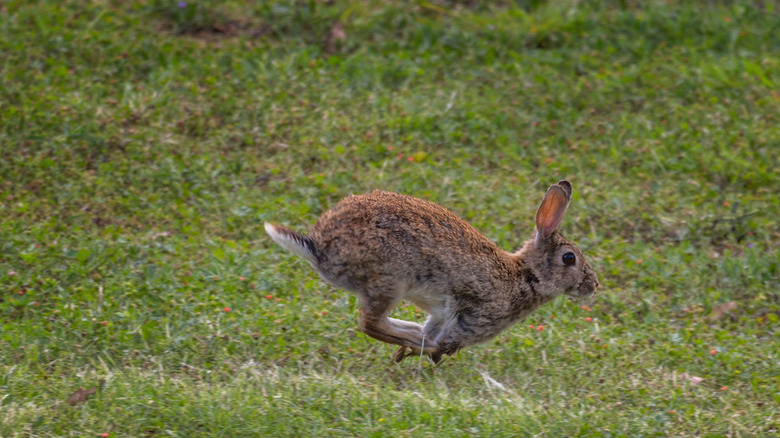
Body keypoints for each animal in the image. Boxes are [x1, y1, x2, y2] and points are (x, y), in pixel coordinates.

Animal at [266, 179, 600, 362]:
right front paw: (428, 350)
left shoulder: (442, 315)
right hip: (390, 279)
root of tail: (319, 247)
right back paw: (413, 340)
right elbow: (446, 337)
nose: (593, 285)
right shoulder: (473, 313)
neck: (524, 275)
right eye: (569, 258)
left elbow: (435, 327)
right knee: (370, 323)